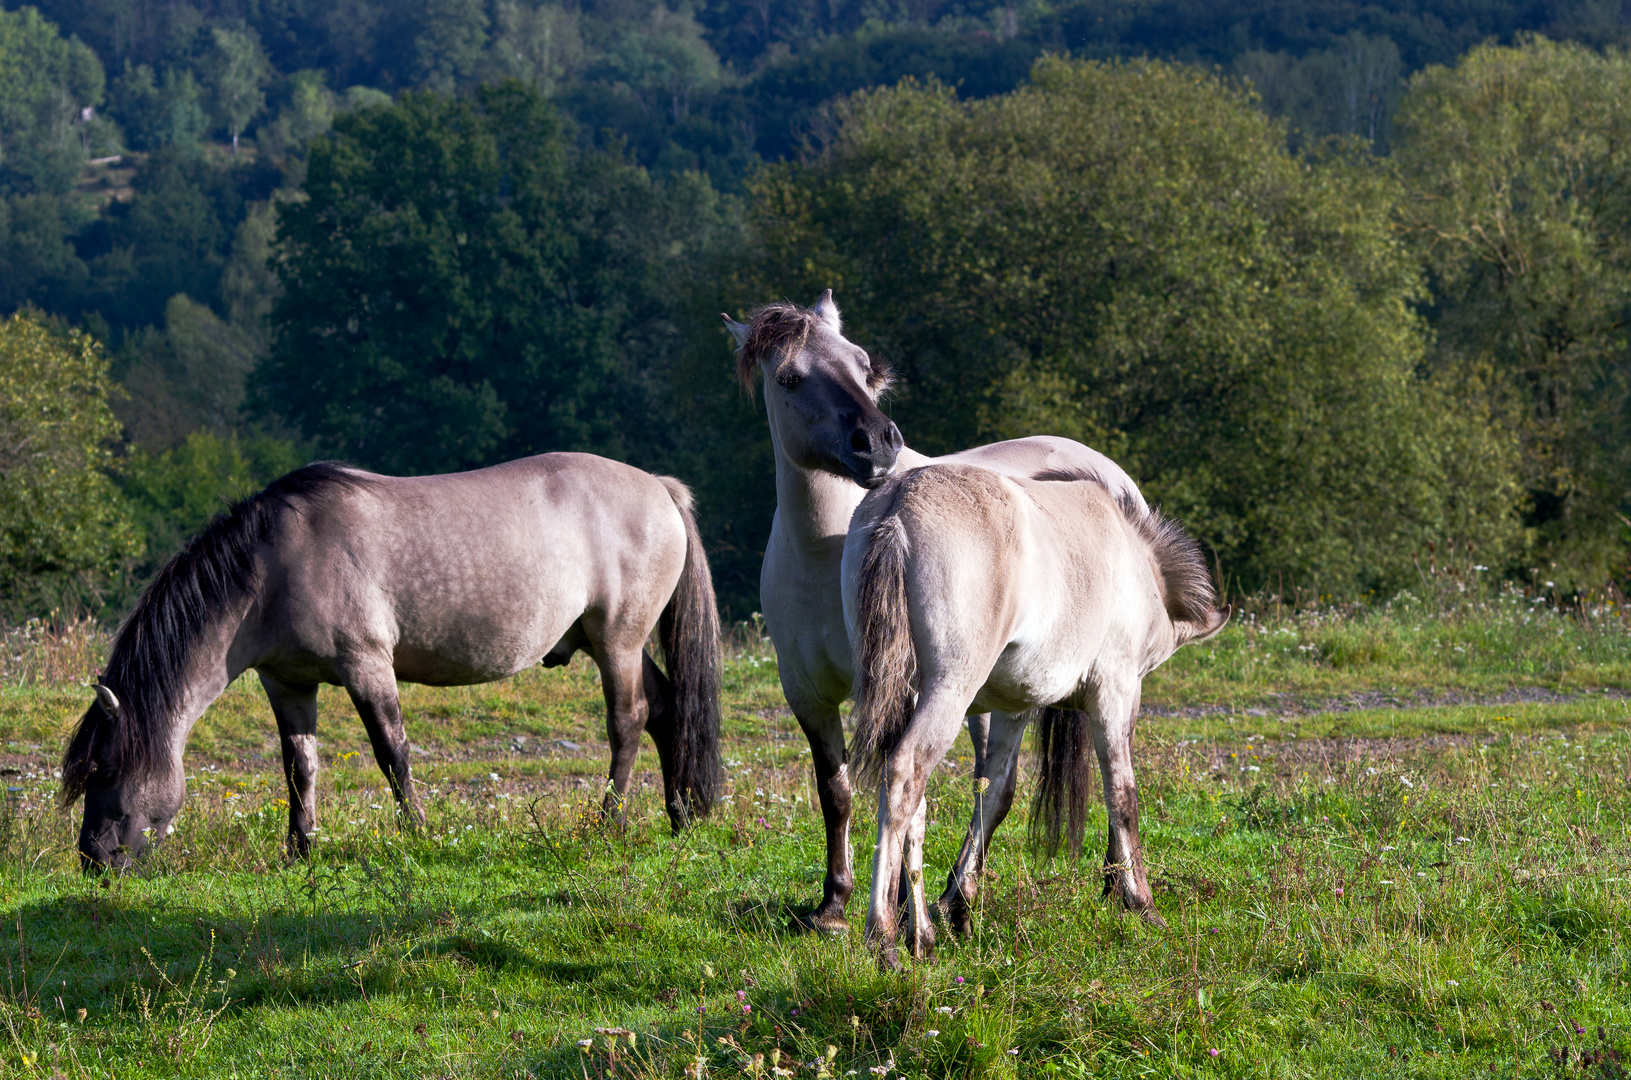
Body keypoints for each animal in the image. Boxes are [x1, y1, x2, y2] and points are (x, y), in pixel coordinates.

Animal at [60, 453, 720, 874]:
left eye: (106, 768)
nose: (94, 859)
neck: (275, 567)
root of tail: (660, 488)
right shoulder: (287, 684)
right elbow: (299, 768)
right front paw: (299, 851)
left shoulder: (367, 666)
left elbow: (392, 753)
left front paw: (420, 834)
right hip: (605, 642)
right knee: (667, 712)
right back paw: (681, 818)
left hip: (618, 643)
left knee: (629, 721)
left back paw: (609, 824)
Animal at [720, 292, 1154, 933]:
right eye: (790, 378)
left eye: (864, 366)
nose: (877, 443)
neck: (826, 549)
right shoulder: (806, 693)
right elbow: (837, 791)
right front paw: (834, 902)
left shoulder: (902, 684)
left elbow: (909, 792)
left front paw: (901, 909)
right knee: (996, 782)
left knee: (1037, 780)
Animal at [848, 463, 1226, 965]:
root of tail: (900, 502)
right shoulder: (1115, 691)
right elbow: (1122, 793)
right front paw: (1140, 902)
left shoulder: (1013, 709)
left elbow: (995, 795)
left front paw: (959, 904)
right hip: (948, 691)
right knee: (905, 775)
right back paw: (884, 936)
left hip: (908, 691)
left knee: (915, 801)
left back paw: (921, 934)